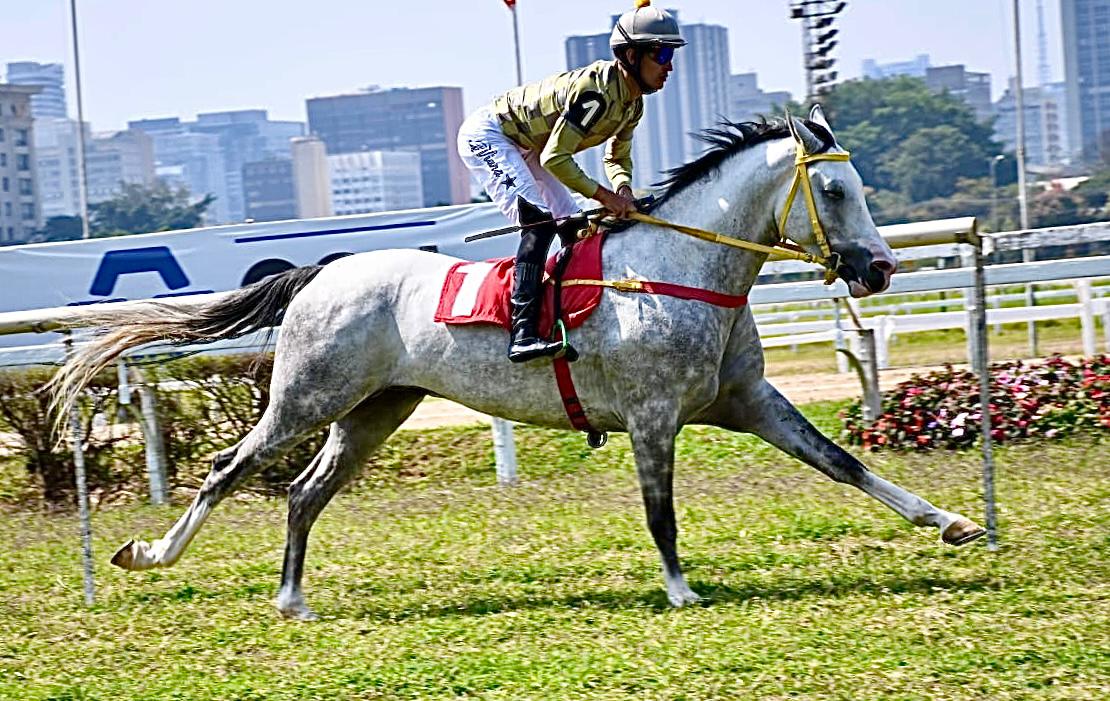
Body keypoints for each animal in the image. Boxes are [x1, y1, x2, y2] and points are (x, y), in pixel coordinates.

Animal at [54, 105, 981, 616]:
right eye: (834, 190)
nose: (879, 269)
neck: (680, 269)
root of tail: (322, 271)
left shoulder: (747, 400)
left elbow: (844, 462)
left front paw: (952, 521)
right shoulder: (652, 417)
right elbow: (661, 513)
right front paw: (682, 590)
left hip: (375, 410)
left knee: (304, 492)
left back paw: (291, 597)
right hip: (306, 398)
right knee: (226, 469)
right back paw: (152, 555)